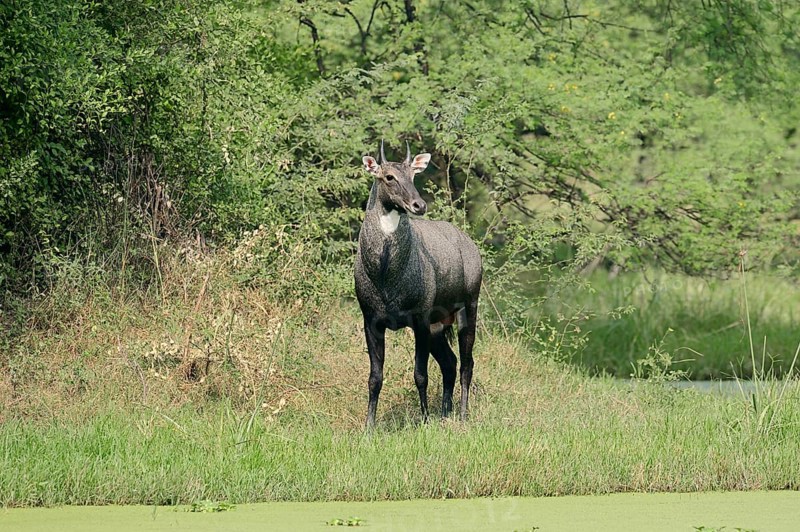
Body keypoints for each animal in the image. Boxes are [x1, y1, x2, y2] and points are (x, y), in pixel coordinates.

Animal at [354, 141, 482, 428]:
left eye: (413, 175)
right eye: (389, 177)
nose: (419, 205)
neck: (385, 274)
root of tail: (468, 243)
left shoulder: (419, 321)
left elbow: (420, 375)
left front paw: (423, 420)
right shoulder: (371, 322)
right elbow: (374, 378)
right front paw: (368, 426)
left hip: (468, 310)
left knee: (466, 364)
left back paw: (462, 415)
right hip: (438, 327)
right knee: (449, 362)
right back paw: (445, 412)